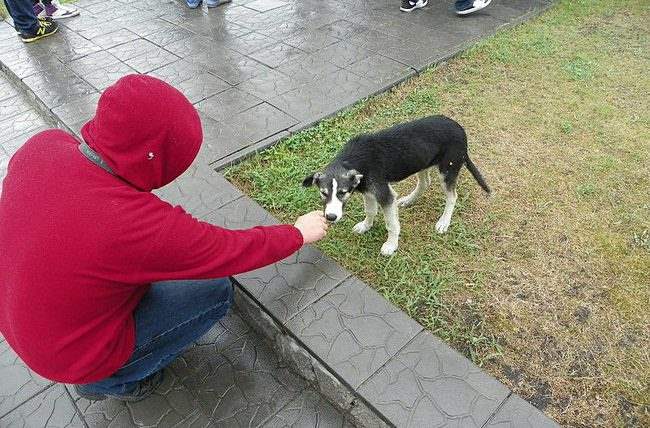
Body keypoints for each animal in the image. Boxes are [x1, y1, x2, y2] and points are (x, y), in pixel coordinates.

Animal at [302, 114, 488, 254]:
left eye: (342, 192)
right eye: (323, 193)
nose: (331, 217)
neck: (351, 160)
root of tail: (460, 128)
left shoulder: (384, 195)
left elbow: (391, 224)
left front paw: (391, 245)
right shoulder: (368, 191)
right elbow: (370, 211)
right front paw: (365, 226)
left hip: (448, 169)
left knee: (452, 196)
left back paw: (444, 222)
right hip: (422, 162)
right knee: (425, 183)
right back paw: (409, 200)